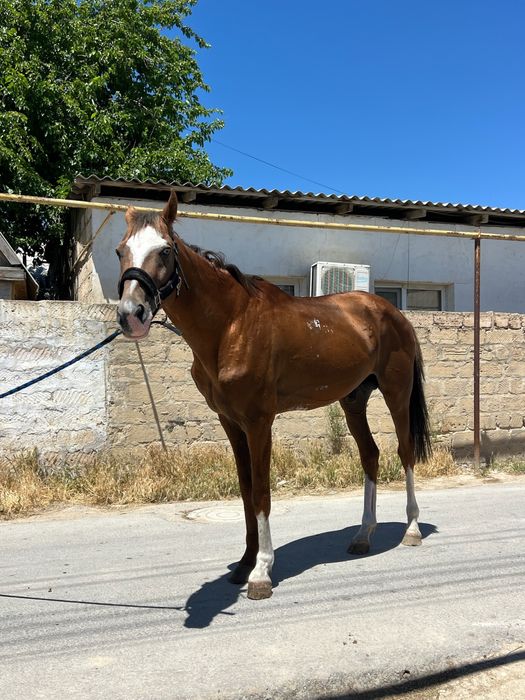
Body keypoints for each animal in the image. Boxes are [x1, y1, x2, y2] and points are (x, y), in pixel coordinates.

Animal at [116, 191, 432, 600]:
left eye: (165, 250)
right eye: (120, 251)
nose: (130, 314)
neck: (232, 326)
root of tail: (393, 311)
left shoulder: (258, 422)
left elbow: (262, 492)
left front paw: (262, 571)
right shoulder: (231, 423)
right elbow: (246, 489)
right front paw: (245, 563)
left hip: (396, 393)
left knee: (405, 452)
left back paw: (412, 529)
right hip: (353, 400)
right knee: (370, 455)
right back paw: (363, 535)